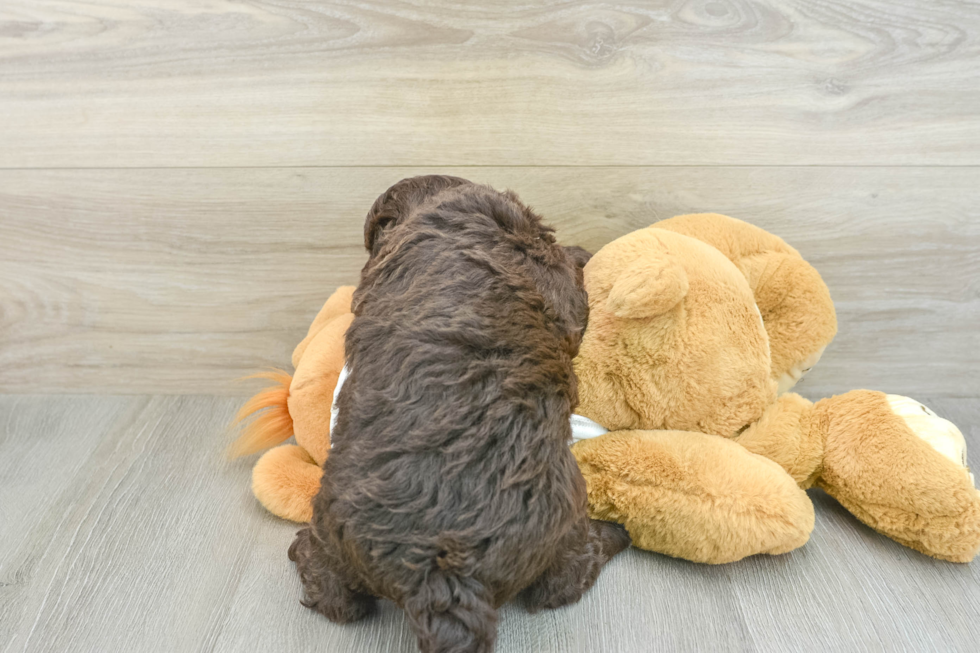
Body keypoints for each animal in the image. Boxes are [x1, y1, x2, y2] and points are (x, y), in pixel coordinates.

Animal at [290, 176, 628, 648]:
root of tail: (440, 575)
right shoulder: (557, 283)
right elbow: (570, 278)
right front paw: (583, 254)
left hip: (337, 538)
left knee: (338, 596)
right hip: (566, 526)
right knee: (566, 578)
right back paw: (616, 534)